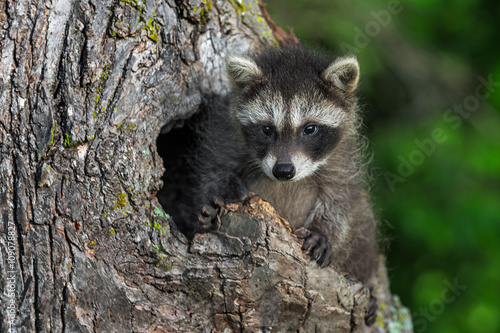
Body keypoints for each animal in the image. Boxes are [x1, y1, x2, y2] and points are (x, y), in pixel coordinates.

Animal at [193, 42, 376, 286]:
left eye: (310, 129)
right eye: (267, 129)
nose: (283, 171)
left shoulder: (343, 154)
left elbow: (341, 195)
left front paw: (323, 231)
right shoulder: (224, 134)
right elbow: (216, 169)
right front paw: (219, 200)